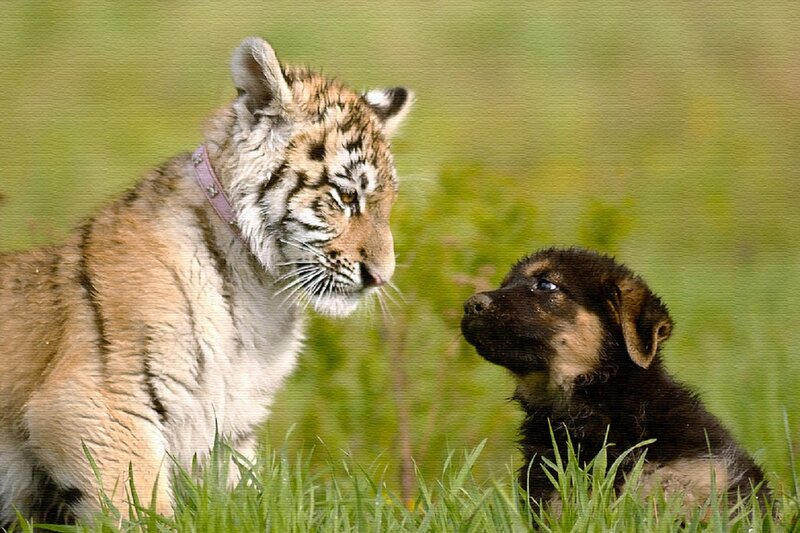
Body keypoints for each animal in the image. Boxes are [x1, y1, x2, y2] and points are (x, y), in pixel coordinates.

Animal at [0, 36, 412, 524]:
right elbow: (146, 513)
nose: (381, 277)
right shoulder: (99, 406)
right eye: (347, 196)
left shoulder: (228, 430)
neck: (262, 291)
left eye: (388, 202)